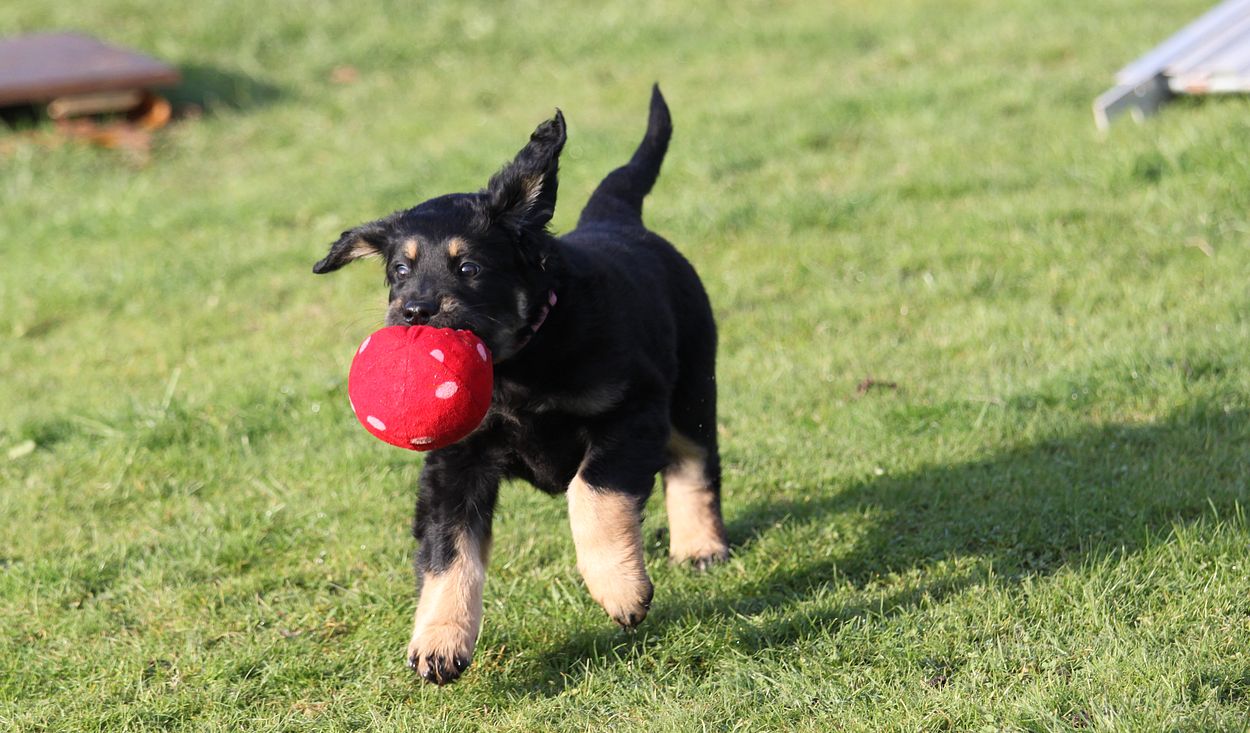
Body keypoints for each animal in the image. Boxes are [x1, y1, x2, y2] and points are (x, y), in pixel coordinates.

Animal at [313, 86, 727, 684]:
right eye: (399, 270)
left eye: (469, 268)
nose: (413, 312)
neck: (517, 366)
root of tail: (618, 221)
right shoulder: (453, 464)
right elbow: (448, 553)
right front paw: (438, 642)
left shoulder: (632, 410)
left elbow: (592, 493)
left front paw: (620, 589)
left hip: (692, 386)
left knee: (695, 461)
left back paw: (700, 546)